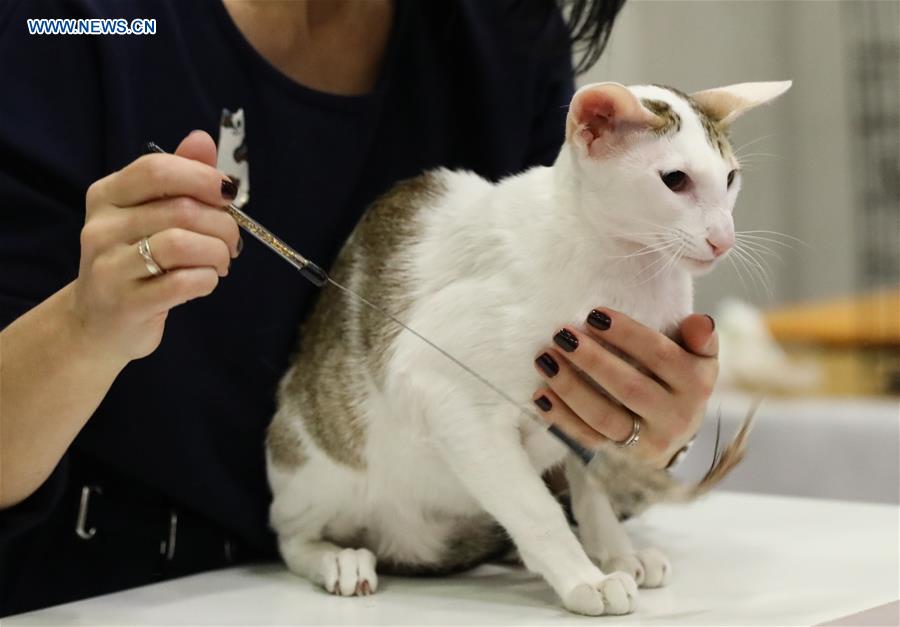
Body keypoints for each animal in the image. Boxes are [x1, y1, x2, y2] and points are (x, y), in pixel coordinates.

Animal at [266, 79, 788, 620]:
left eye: (730, 178)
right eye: (675, 180)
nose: (723, 238)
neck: (633, 275)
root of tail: (406, 543)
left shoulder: (586, 419)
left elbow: (592, 490)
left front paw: (615, 553)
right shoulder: (445, 390)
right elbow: (535, 509)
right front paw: (584, 577)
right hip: (314, 463)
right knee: (290, 535)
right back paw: (340, 558)